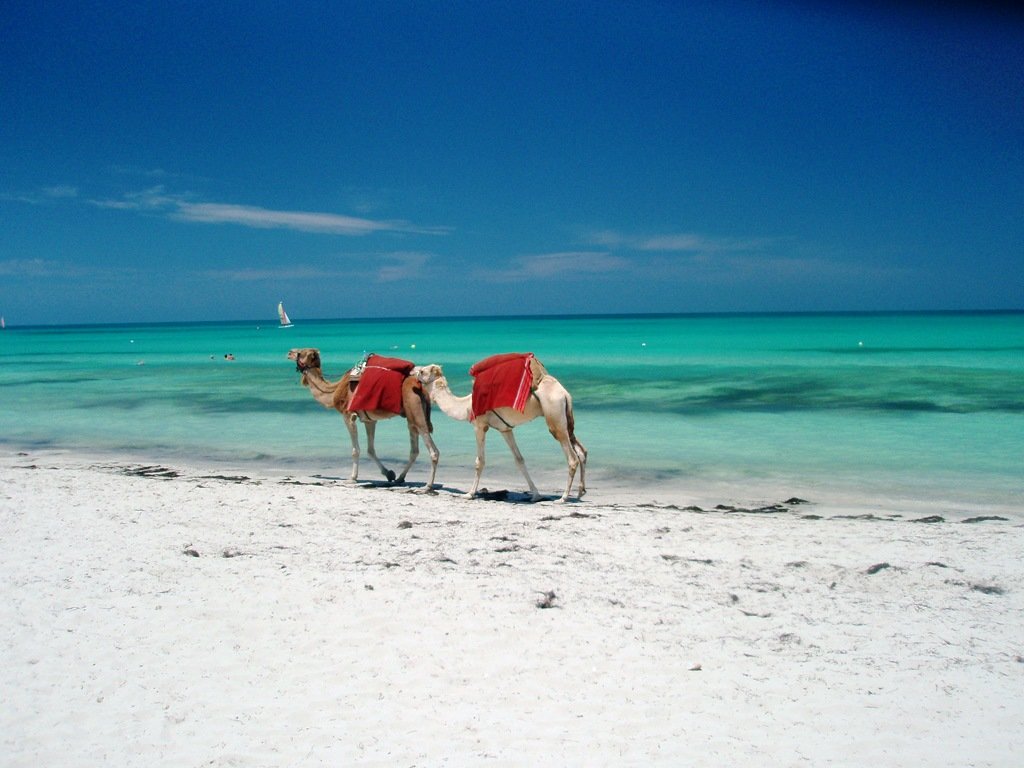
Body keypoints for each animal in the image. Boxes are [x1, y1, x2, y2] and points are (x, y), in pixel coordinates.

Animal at [287, 348, 439, 491]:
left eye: (300, 352)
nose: (289, 352)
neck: (335, 390)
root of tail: (420, 387)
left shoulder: (348, 415)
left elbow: (356, 450)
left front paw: (352, 478)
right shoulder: (369, 420)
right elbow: (370, 450)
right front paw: (389, 474)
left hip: (416, 411)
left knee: (433, 450)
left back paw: (427, 486)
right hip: (410, 417)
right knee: (414, 450)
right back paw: (400, 478)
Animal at [414, 356, 586, 502]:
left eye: (422, 371)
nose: (413, 372)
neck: (466, 406)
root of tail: (565, 394)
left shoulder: (479, 426)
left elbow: (480, 461)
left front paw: (469, 494)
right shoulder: (505, 429)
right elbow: (519, 460)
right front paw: (536, 495)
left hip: (554, 417)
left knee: (572, 458)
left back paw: (563, 497)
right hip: (566, 420)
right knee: (581, 451)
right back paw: (580, 492)